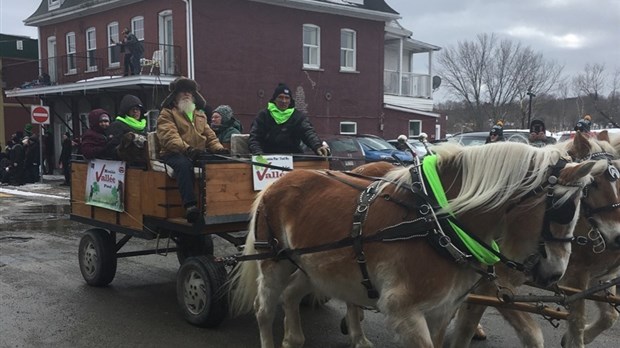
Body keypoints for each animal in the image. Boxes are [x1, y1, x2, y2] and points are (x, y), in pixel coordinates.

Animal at [231, 140, 596, 346]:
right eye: (565, 209)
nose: (555, 274)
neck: (435, 222)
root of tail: (278, 181)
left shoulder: (441, 311)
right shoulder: (404, 313)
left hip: (314, 267)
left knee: (292, 295)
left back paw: (294, 339)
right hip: (274, 262)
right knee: (265, 308)